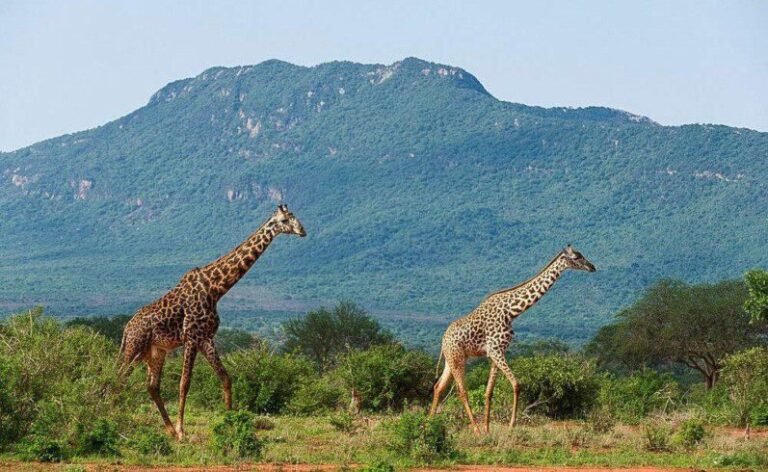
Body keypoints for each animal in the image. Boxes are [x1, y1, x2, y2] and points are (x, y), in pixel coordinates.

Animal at [118, 204, 306, 440]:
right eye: (284, 220)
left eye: (295, 217)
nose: (303, 231)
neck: (216, 288)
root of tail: (126, 329)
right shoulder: (191, 337)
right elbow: (184, 383)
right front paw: (182, 431)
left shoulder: (206, 338)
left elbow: (225, 377)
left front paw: (231, 424)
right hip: (134, 347)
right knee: (118, 377)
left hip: (154, 352)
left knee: (151, 386)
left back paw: (167, 429)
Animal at [429, 245, 595, 433]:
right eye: (576, 257)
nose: (592, 267)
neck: (511, 312)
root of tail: (443, 341)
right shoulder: (496, 350)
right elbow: (516, 384)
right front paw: (510, 426)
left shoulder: (495, 353)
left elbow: (489, 391)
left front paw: (488, 430)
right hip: (457, 358)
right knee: (461, 390)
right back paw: (475, 430)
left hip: (451, 359)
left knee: (439, 386)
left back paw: (429, 422)